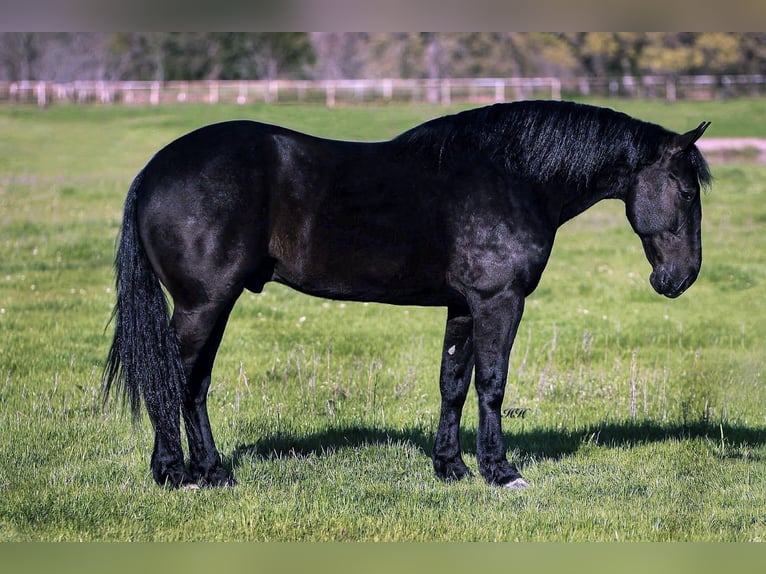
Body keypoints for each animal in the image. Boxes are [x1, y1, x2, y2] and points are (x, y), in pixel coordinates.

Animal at [102, 100, 712, 490]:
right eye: (686, 191)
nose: (679, 279)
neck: (512, 176)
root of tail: (154, 170)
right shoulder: (499, 300)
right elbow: (492, 385)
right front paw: (501, 473)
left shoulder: (464, 306)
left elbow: (453, 383)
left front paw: (452, 468)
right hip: (203, 305)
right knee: (175, 380)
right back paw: (176, 474)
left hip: (210, 306)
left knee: (194, 386)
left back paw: (211, 472)